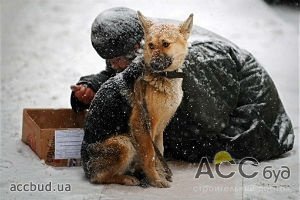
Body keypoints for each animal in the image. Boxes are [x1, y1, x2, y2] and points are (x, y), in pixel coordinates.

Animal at [88, 12, 193, 188]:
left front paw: (159, 174)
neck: (163, 77)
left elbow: (159, 152)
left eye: (165, 44)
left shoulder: (159, 128)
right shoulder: (141, 125)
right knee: (99, 178)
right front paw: (155, 179)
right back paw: (126, 178)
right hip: (124, 142)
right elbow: (150, 155)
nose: (153, 64)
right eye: (150, 45)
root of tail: (86, 167)